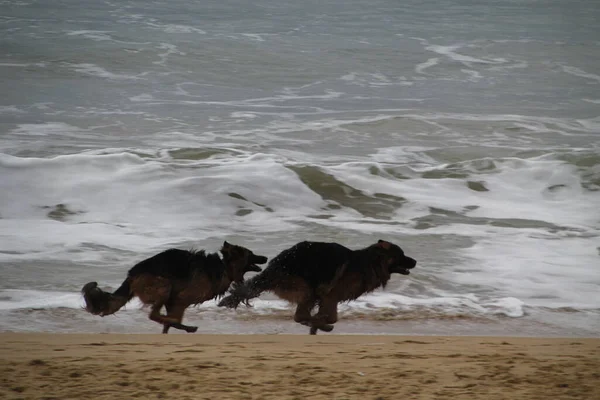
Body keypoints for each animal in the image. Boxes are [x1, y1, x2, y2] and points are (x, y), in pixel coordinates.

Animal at [219, 241, 418, 334]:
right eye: (401, 255)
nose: (415, 261)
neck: (371, 262)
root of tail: (276, 266)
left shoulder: (329, 298)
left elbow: (330, 317)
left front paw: (317, 323)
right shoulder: (329, 295)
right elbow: (330, 318)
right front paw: (318, 323)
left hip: (308, 292)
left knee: (300, 315)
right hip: (307, 289)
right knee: (299, 315)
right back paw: (318, 324)